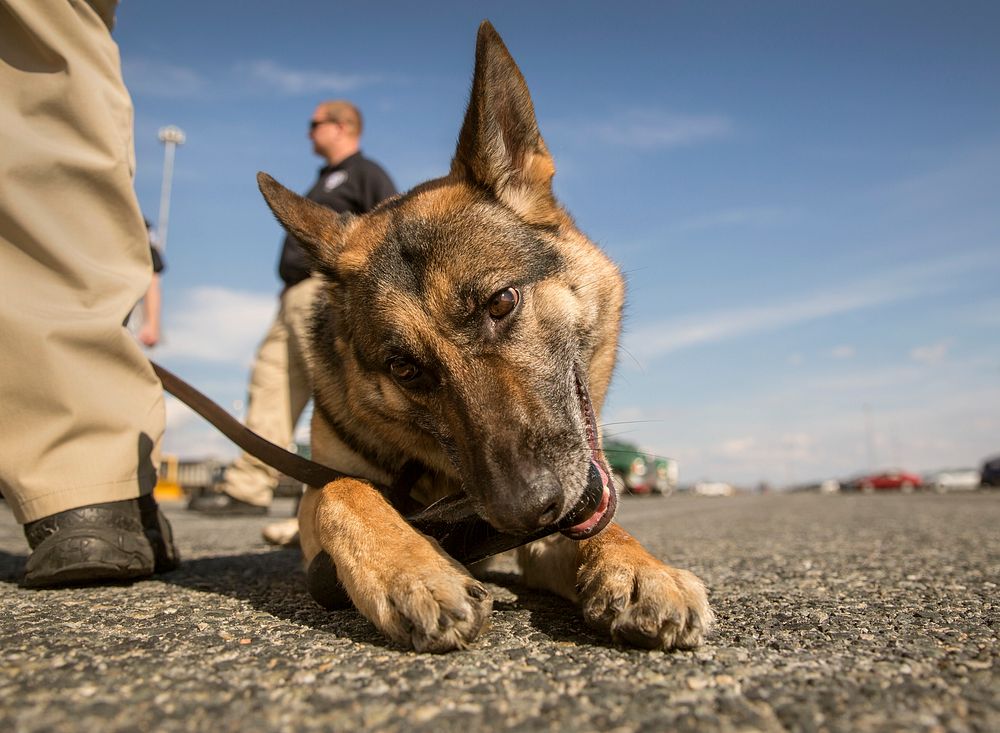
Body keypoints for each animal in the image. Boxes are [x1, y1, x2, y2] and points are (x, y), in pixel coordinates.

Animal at [254, 22, 716, 652]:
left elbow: (606, 524)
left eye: (501, 303)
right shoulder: (326, 500)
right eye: (403, 367)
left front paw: (641, 569)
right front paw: (412, 569)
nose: (527, 512)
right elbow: (340, 490)